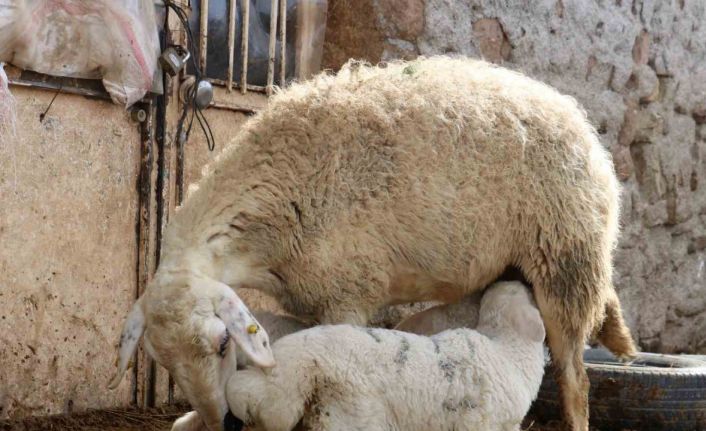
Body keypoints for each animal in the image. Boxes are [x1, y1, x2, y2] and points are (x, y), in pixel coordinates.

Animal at [226, 282, 544, 430]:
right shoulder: (484, 423)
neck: (508, 351)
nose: (524, 281)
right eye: (527, 295)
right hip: (354, 416)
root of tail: (306, 357)